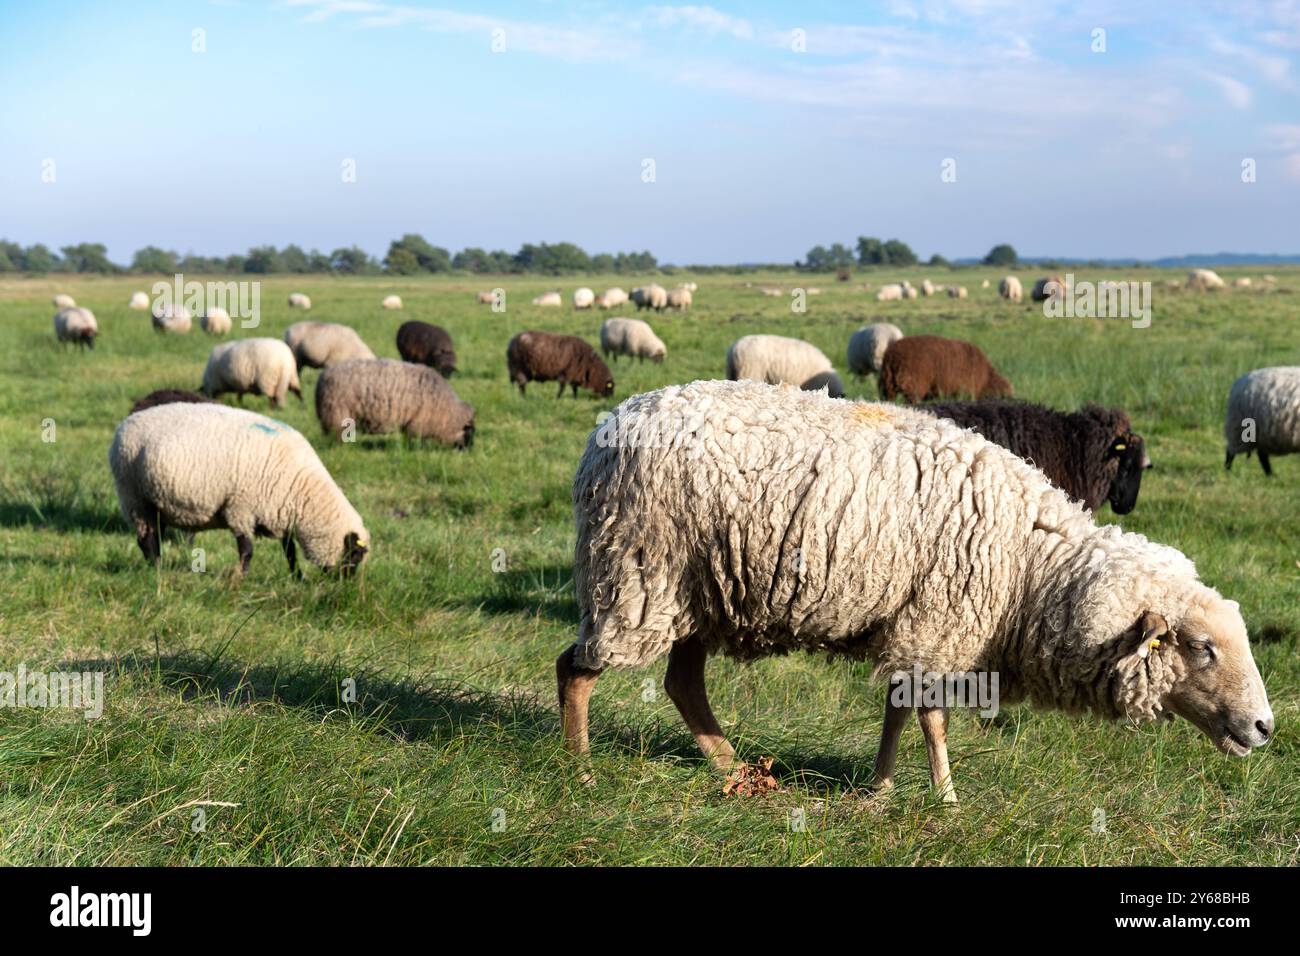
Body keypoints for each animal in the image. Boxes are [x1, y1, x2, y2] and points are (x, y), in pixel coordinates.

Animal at [109, 403, 369, 574]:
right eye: (354, 554)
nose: (345, 585)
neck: (302, 488)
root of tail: (125, 424)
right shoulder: (241, 508)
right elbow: (247, 549)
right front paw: (240, 579)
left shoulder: (280, 513)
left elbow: (290, 551)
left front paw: (297, 578)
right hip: (133, 496)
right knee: (146, 539)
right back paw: (156, 568)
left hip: (156, 501)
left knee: (155, 533)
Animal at [315, 358, 475, 447]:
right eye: (469, 431)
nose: (469, 449)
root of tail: (323, 376)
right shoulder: (419, 422)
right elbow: (416, 440)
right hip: (337, 413)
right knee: (335, 435)